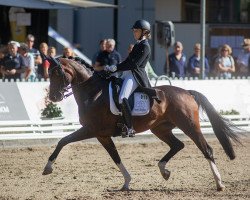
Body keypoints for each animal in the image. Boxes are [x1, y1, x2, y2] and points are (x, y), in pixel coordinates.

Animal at [43, 57, 242, 191]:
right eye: (49, 73)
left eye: (57, 73)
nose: (53, 97)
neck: (93, 92)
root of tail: (187, 91)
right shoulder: (102, 135)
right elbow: (115, 157)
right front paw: (127, 182)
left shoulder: (92, 130)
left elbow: (63, 141)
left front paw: (47, 168)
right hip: (160, 128)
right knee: (178, 144)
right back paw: (164, 171)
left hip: (189, 126)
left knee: (206, 149)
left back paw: (219, 183)